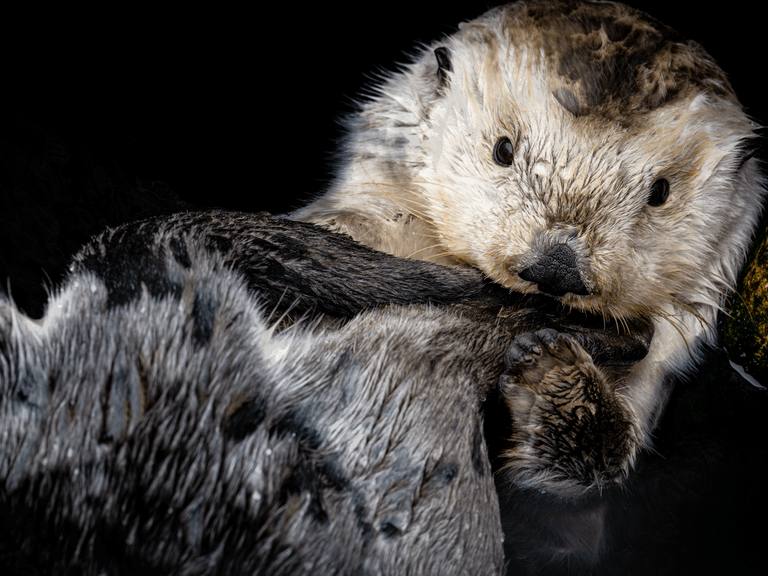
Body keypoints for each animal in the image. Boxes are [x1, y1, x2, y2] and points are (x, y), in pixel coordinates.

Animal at [291, 0, 766, 494]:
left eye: (660, 192)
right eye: (503, 150)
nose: (556, 268)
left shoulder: (661, 357)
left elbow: (599, 456)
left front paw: (551, 369)